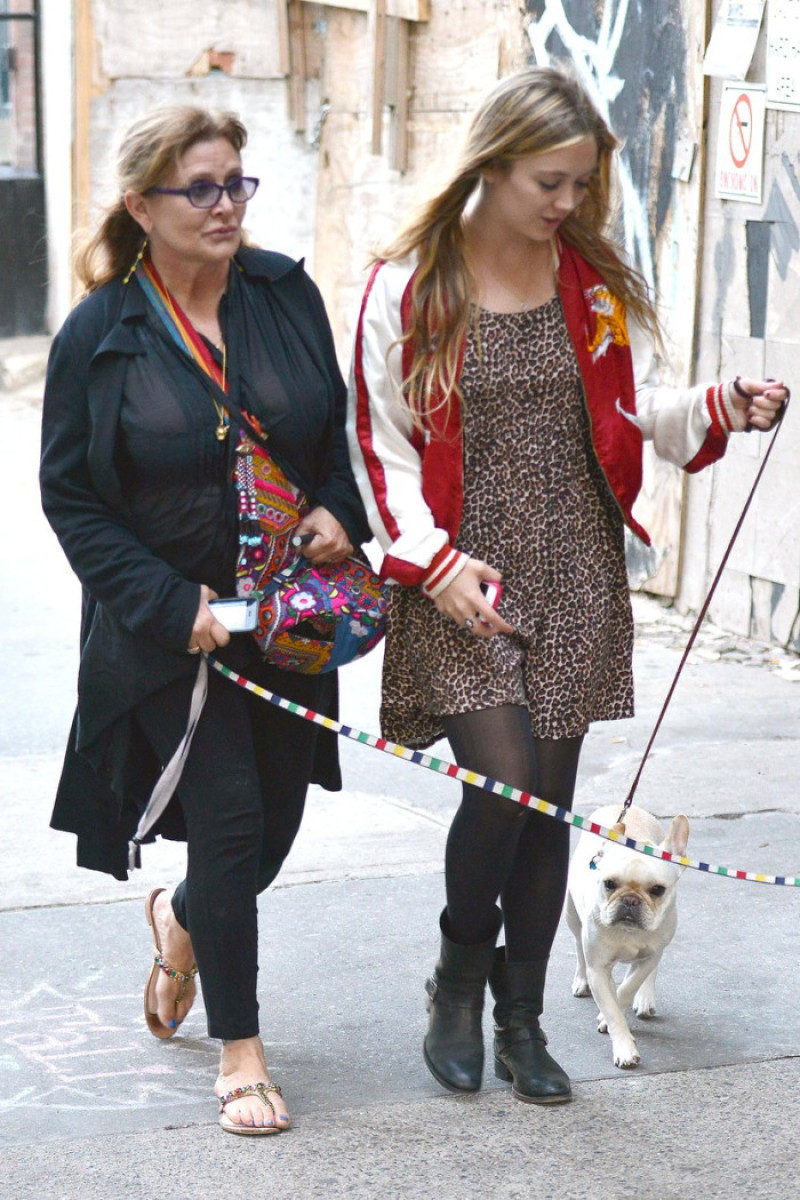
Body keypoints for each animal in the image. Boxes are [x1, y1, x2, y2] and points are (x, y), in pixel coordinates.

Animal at [565, 804, 690, 1069]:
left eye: (658, 890)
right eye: (609, 884)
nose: (630, 900)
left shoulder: (649, 956)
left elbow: (627, 989)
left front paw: (616, 1009)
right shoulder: (598, 968)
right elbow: (612, 1009)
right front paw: (624, 1047)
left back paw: (645, 999)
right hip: (571, 915)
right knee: (579, 947)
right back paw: (581, 980)